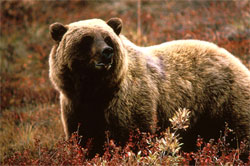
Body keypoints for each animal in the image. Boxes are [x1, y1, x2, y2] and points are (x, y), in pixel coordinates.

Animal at [48, 17, 250, 157]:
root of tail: (236, 60)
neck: (96, 90)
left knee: (239, 137)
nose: (107, 52)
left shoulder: (128, 102)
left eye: (107, 38)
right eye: (87, 38)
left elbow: (133, 137)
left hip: (224, 103)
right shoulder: (75, 107)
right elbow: (84, 140)